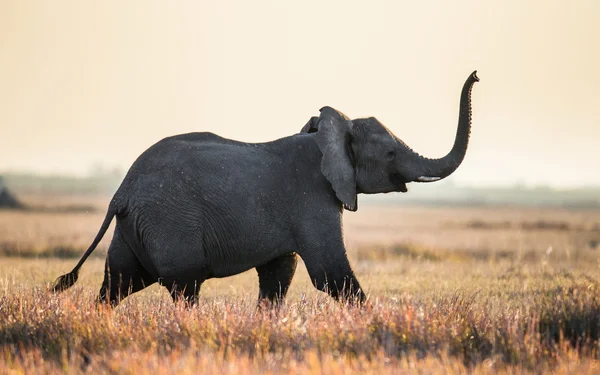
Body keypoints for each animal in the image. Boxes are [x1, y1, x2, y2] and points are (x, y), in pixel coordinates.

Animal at [54, 71, 480, 308]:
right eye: (391, 153)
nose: (476, 75)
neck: (327, 135)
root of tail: (121, 192)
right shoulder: (314, 198)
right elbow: (331, 274)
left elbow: (279, 274)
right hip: (168, 221)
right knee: (183, 285)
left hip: (135, 227)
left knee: (117, 284)